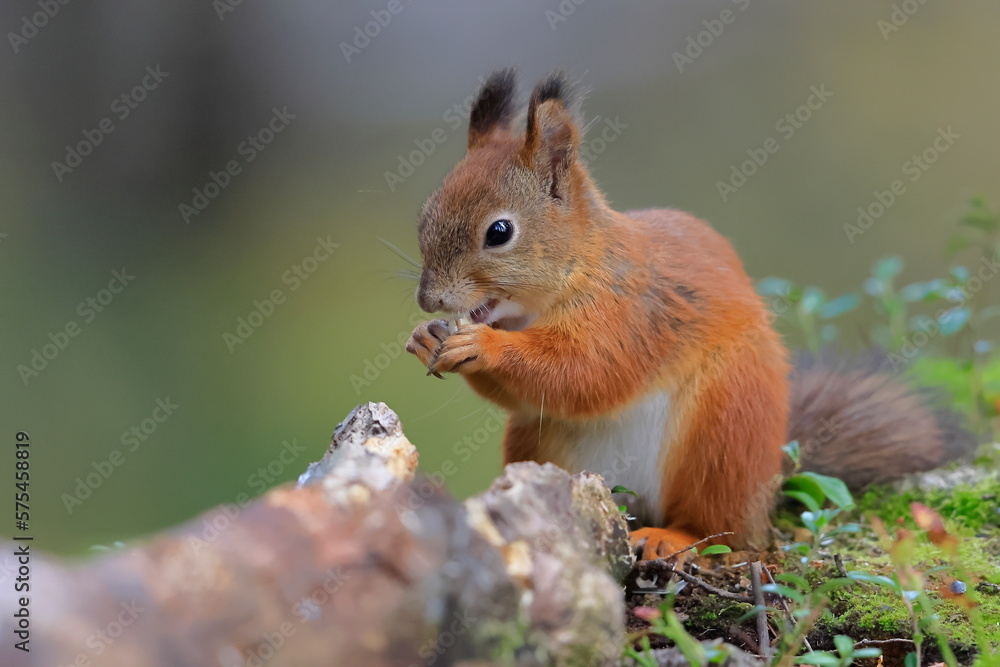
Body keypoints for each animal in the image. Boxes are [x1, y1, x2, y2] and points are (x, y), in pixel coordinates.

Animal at [402, 69, 972, 560]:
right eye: (425, 214)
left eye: (499, 232)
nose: (429, 300)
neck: (574, 271)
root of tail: (767, 490)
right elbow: (531, 393)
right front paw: (428, 337)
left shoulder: (631, 314)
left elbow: (584, 371)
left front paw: (482, 345)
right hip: (539, 443)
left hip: (722, 431)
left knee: (719, 530)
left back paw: (671, 537)